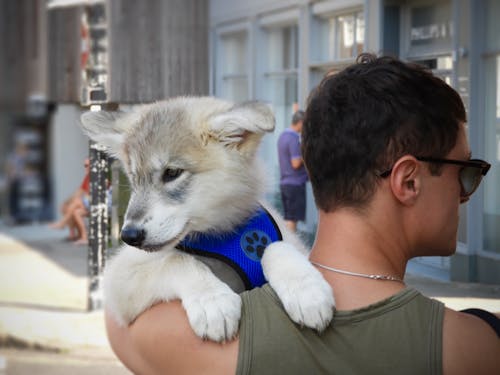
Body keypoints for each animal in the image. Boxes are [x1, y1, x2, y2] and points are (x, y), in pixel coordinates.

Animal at [80, 97, 334, 344]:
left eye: (172, 173)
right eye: (134, 178)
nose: (129, 236)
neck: (219, 233)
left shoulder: (292, 242)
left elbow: (275, 246)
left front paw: (306, 289)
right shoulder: (119, 276)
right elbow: (176, 259)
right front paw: (212, 301)